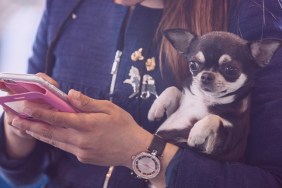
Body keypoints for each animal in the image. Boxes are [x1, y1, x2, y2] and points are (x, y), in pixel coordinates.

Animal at [149, 28, 280, 161]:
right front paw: (157, 106)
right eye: (193, 65)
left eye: (231, 70)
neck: (206, 99)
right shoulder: (173, 112)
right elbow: (173, 88)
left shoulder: (219, 145)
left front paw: (197, 131)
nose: (207, 75)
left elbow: (214, 117)